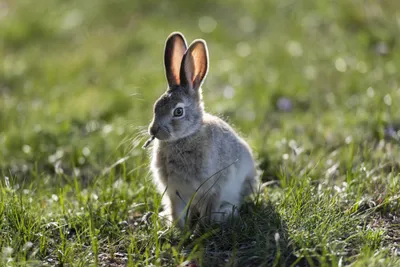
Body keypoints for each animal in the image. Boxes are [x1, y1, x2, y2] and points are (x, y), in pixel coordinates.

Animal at [148, 30, 260, 228]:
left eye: (178, 112)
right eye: (156, 106)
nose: (153, 131)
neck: (185, 138)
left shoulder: (214, 186)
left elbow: (208, 209)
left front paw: (202, 228)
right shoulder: (174, 191)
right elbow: (177, 211)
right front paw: (176, 228)